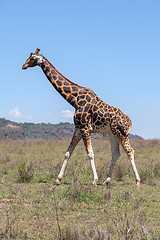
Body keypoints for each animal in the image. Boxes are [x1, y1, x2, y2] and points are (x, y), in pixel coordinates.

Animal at [22, 48, 140, 186]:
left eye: (32, 58)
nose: (23, 66)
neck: (74, 99)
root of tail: (130, 122)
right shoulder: (78, 128)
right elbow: (68, 153)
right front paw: (58, 179)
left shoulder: (85, 128)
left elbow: (90, 154)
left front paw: (94, 180)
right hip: (112, 134)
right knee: (116, 154)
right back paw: (106, 181)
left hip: (121, 133)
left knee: (130, 152)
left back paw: (137, 181)